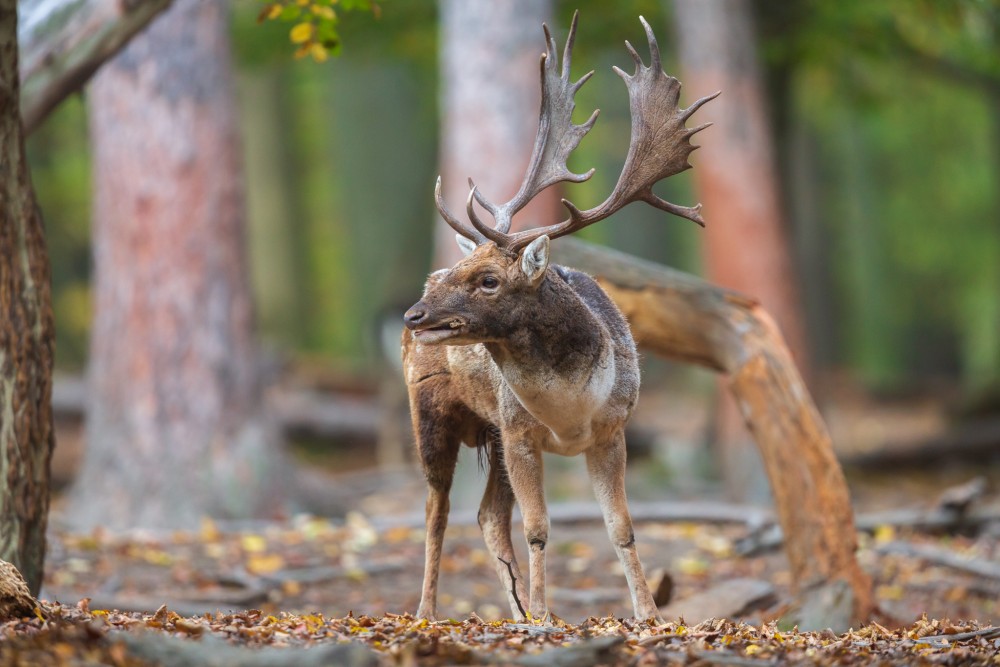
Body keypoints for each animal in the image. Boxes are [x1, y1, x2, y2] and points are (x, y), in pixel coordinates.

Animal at [402, 13, 716, 624]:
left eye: (489, 280)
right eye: (466, 270)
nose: (414, 313)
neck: (569, 413)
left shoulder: (612, 429)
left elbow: (621, 529)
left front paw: (648, 614)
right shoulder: (520, 432)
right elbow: (539, 528)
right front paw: (548, 618)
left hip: (491, 435)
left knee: (486, 516)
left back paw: (516, 608)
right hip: (430, 409)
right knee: (436, 510)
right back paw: (428, 610)